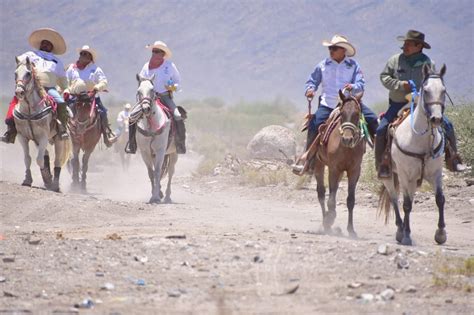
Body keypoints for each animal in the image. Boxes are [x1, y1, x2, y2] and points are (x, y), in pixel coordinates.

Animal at [12, 56, 69, 193]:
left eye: (28, 73)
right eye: (15, 73)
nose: (19, 92)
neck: (29, 111)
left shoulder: (43, 137)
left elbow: (39, 160)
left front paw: (48, 179)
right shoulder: (23, 137)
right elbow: (28, 159)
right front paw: (27, 180)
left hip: (58, 140)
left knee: (57, 161)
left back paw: (55, 185)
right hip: (37, 140)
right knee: (46, 154)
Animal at [314, 90, 366, 238]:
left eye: (357, 114)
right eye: (342, 114)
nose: (347, 139)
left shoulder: (354, 171)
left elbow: (351, 200)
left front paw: (351, 230)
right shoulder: (333, 169)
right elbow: (331, 200)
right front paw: (329, 221)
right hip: (319, 165)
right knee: (321, 193)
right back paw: (326, 223)